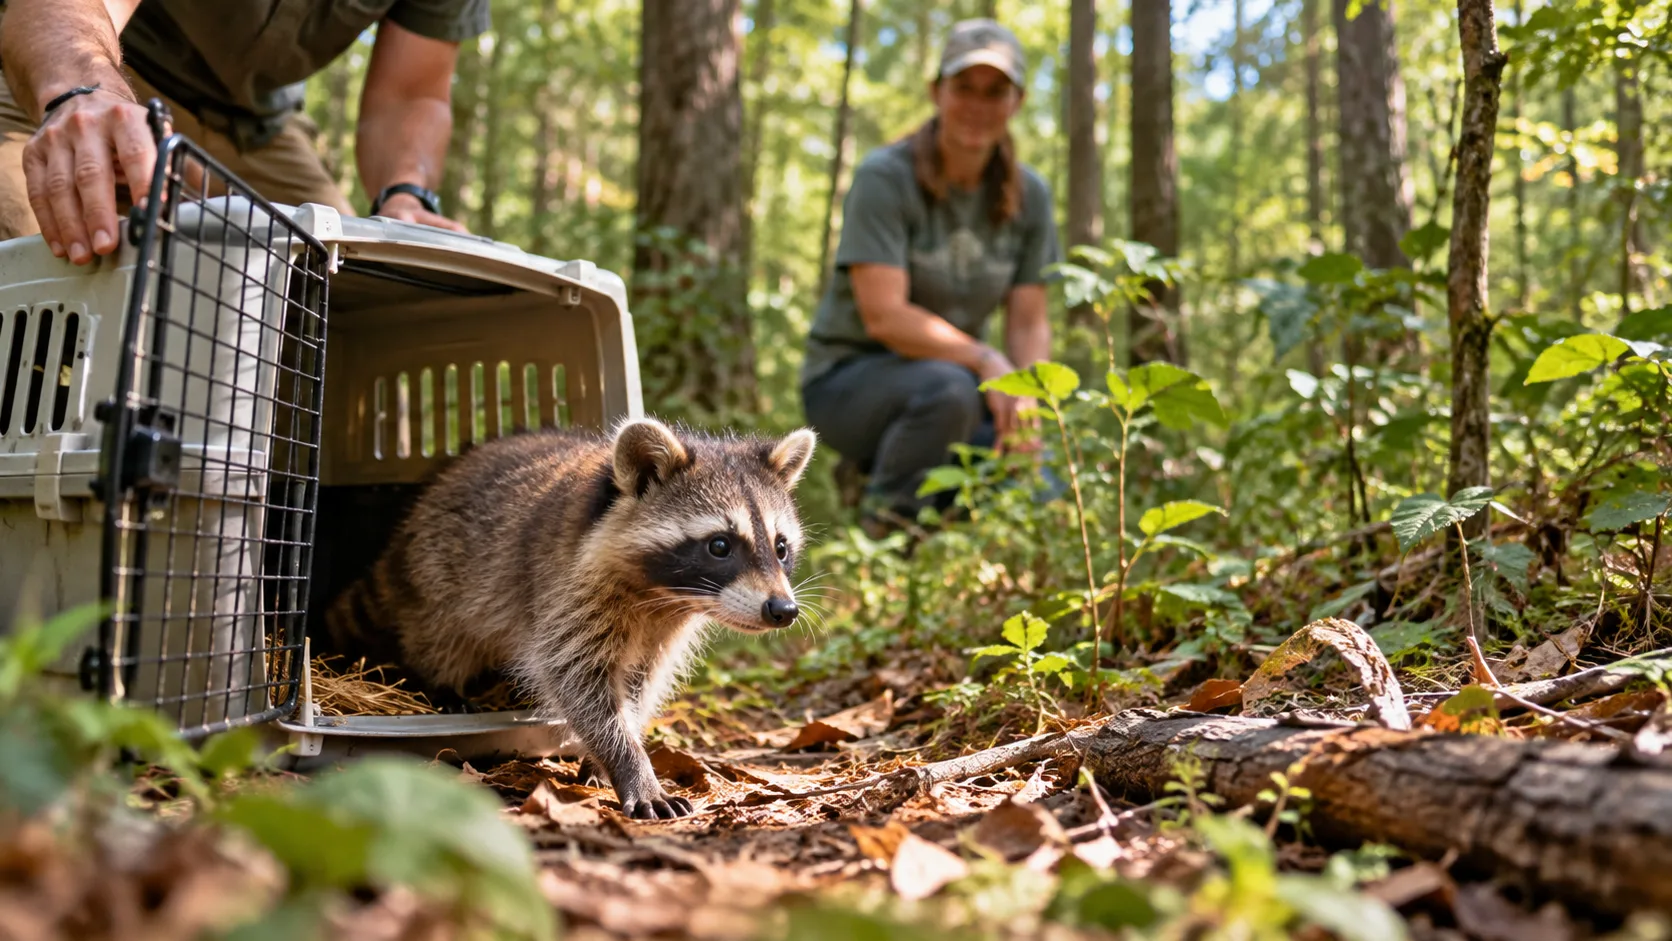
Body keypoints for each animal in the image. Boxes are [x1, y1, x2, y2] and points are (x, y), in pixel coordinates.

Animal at [324, 416, 818, 819]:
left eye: (780, 547)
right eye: (719, 545)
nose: (782, 610)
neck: (660, 595)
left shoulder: (661, 630)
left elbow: (637, 686)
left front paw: (609, 751)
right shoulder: (566, 590)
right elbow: (576, 680)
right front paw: (629, 763)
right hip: (442, 575)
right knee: (440, 636)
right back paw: (440, 682)